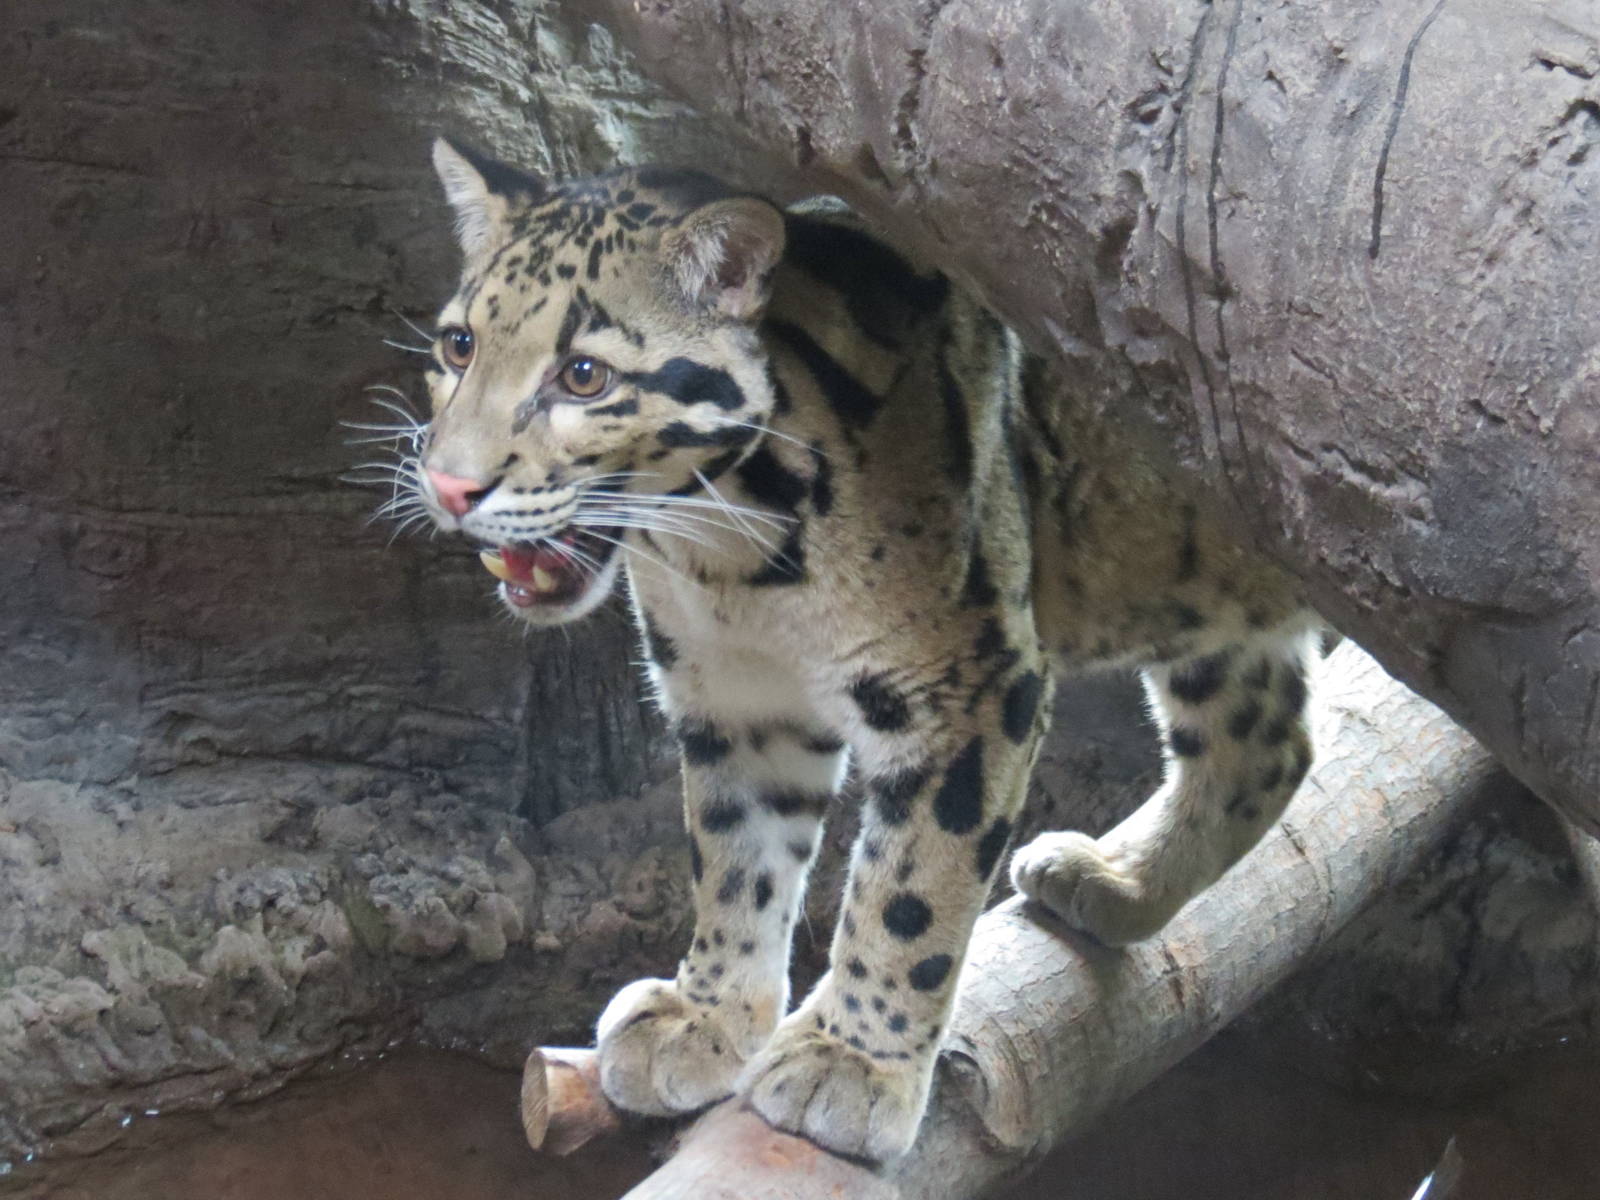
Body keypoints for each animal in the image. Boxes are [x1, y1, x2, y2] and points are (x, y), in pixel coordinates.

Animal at [404, 137, 1319, 1162]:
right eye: (458, 346)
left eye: (585, 377)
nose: (448, 486)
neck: (731, 556)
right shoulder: (734, 698)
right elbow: (734, 851)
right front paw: (708, 1014)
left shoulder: (973, 684)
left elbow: (912, 886)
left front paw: (853, 1060)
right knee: (1267, 748)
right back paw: (1119, 883)